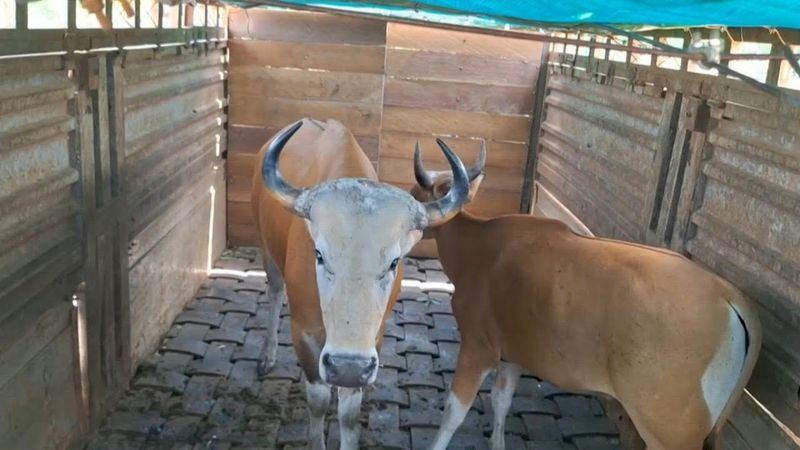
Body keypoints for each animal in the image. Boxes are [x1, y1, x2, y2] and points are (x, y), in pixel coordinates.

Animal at [250, 119, 472, 449]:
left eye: (393, 261)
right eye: (319, 254)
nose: (347, 367)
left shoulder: (372, 341)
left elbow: (348, 413)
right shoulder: (303, 332)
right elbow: (318, 402)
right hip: (267, 251)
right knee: (275, 294)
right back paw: (267, 355)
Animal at [409, 142, 762, 450]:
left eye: (414, 197)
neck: (479, 247)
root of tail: (727, 294)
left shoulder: (477, 348)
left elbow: (453, 414)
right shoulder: (513, 356)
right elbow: (501, 402)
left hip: (669, 432)